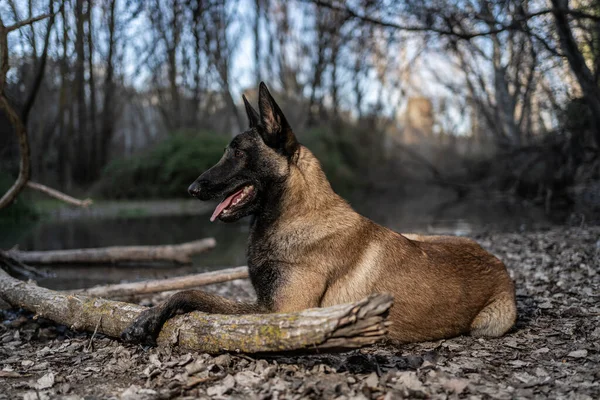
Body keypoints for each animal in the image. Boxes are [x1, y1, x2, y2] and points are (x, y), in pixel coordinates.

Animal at [120, 83, 516, 346]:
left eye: (238, 153)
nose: (191, 189)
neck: (295, 216)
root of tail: (499, 264)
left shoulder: (279, 313)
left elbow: (195, 293)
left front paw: (149, 316)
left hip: (489, 323)